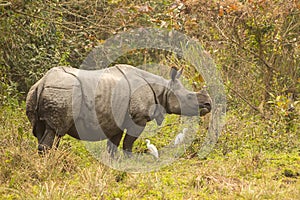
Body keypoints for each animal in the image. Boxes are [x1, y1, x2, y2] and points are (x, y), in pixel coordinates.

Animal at [26, 64, 213, 156]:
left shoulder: (115, 119)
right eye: (189, 97)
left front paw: (114, 163)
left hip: (36, 93)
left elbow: (113, 145)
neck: (163, 89)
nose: (208, 104)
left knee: (44, 132)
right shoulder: (138, 118)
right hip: (63, 92)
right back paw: (49, 164)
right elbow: (128, 143)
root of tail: (42, 82)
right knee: (56, 130)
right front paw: (130, 162)